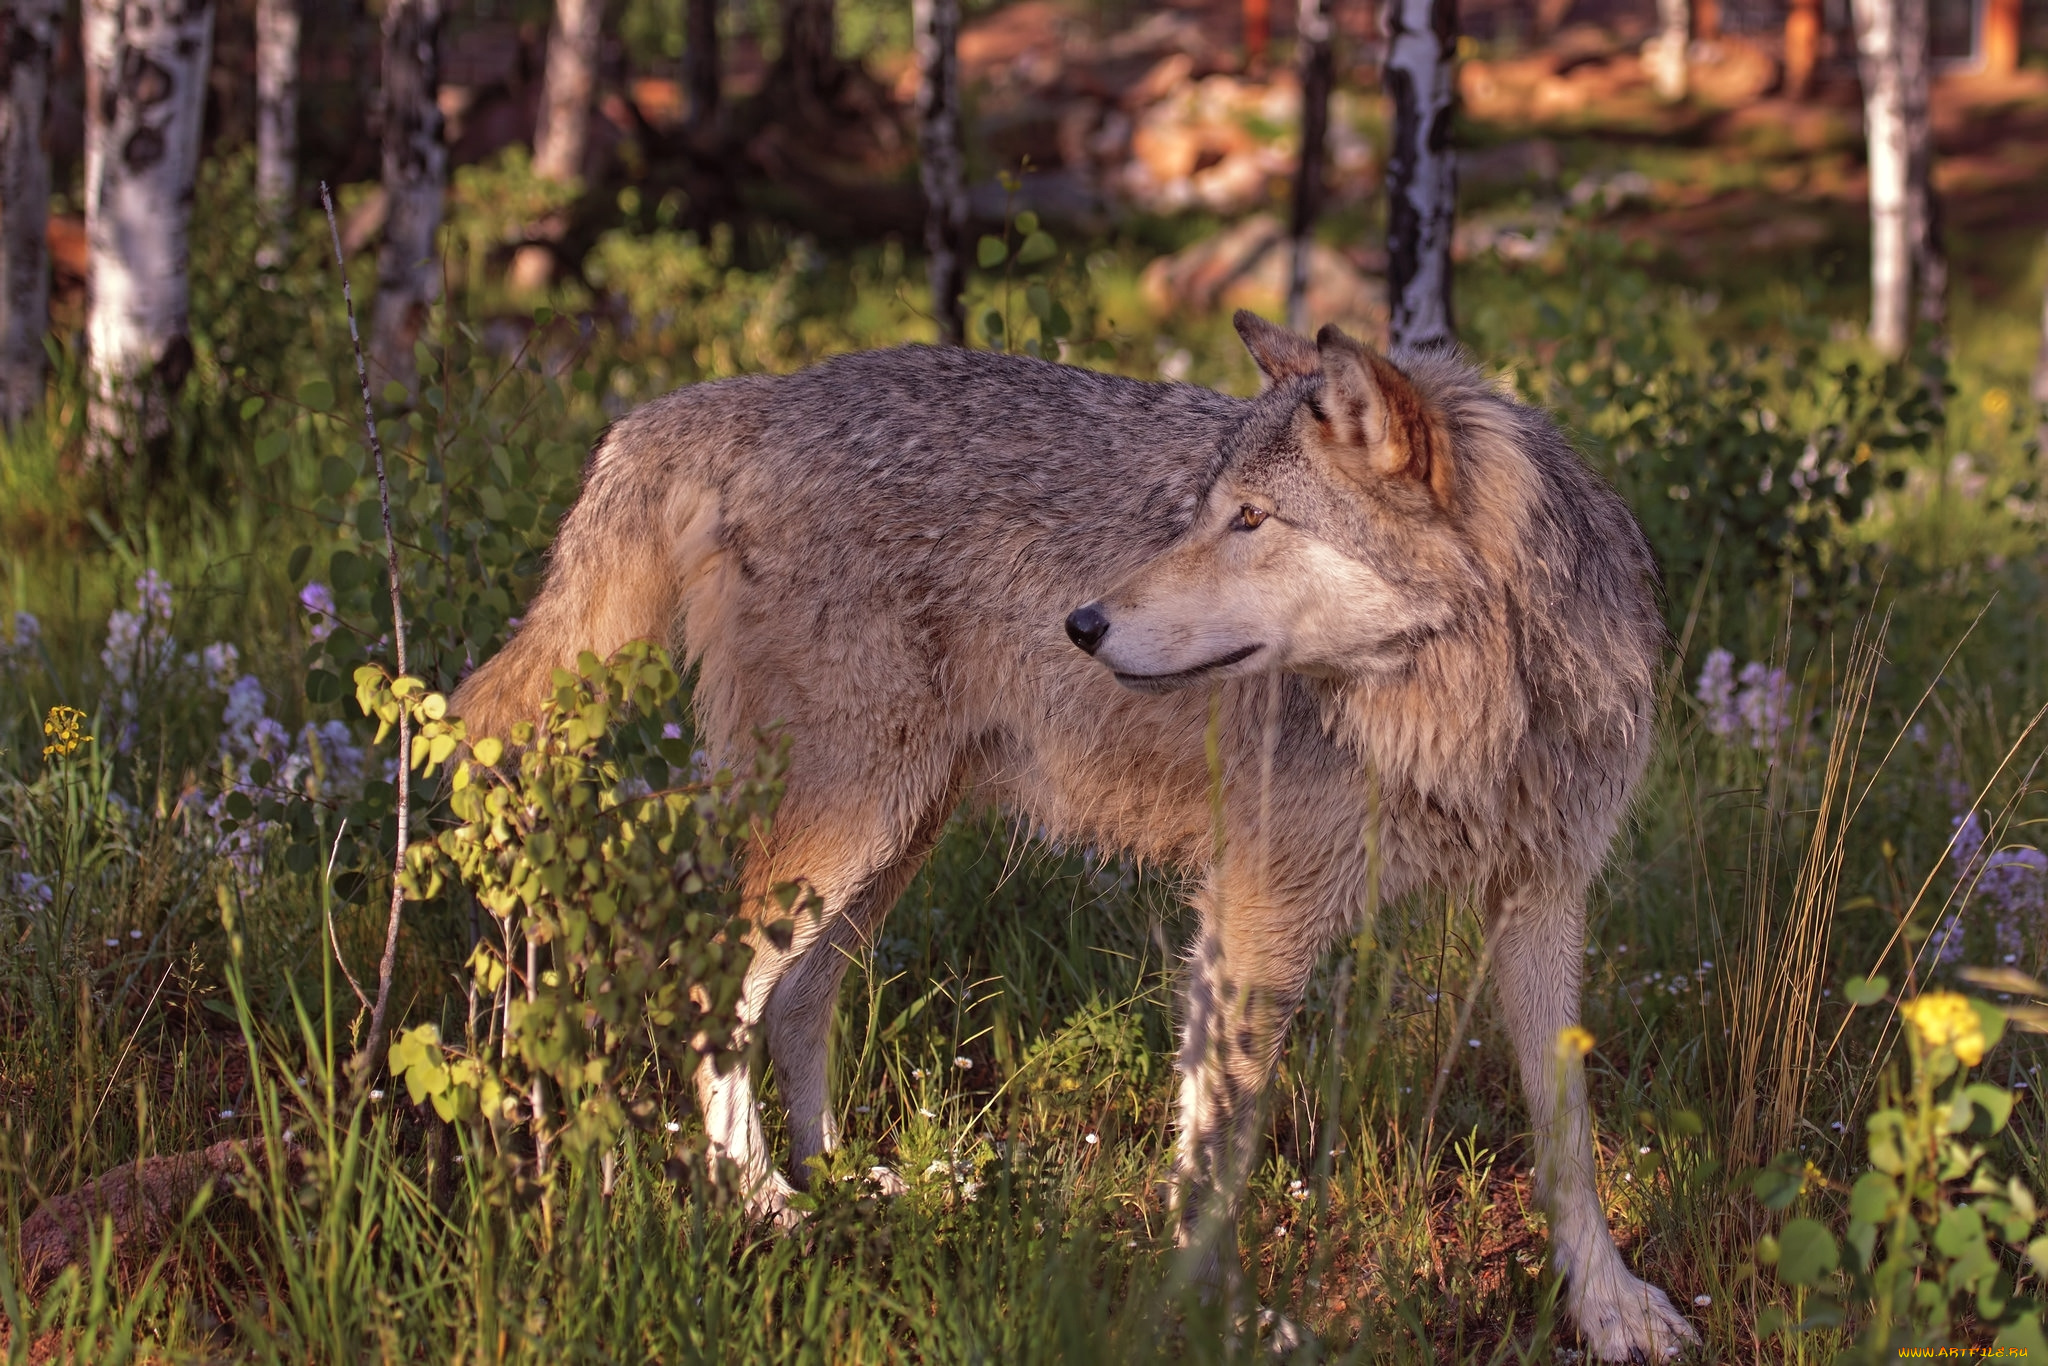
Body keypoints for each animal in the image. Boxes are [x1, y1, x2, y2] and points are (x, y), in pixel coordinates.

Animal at [456, 317, 1703, 1359]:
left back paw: (843, 1182)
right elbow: (1217, 1149)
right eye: (1205, 509)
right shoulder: (1254, 910)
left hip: (891, 836)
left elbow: (1565, 1130)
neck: (1467, 704)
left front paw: (1607, 1306)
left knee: (800, 998)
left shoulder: (1542, 896)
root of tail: (741, 397)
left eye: (1250, 520)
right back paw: (757, 1205)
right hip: (842, 828)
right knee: (699, 986)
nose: (1083, 623)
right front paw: (1218, 1319)